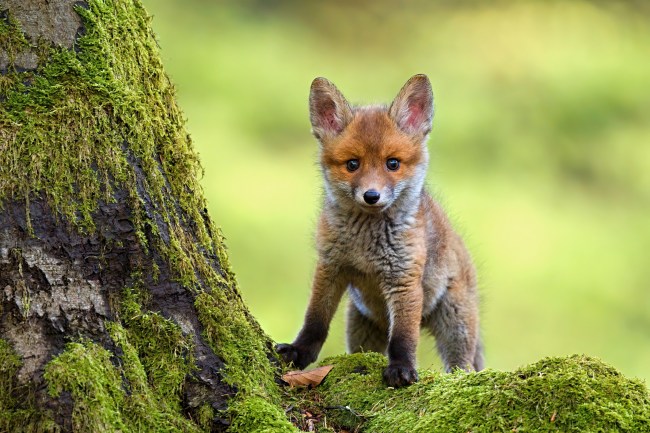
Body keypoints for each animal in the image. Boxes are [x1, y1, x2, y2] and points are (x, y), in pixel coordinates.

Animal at [276, 74, 483, 387]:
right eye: (352, 164)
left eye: (392, 163)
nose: (371, 196)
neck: (365, 246)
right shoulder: (330, 266)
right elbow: (315, 320)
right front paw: (299, 351)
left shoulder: (404, 278)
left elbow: (403, 337)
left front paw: (401, 368)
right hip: (360, 327)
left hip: (454, 323)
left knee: (463, 366)